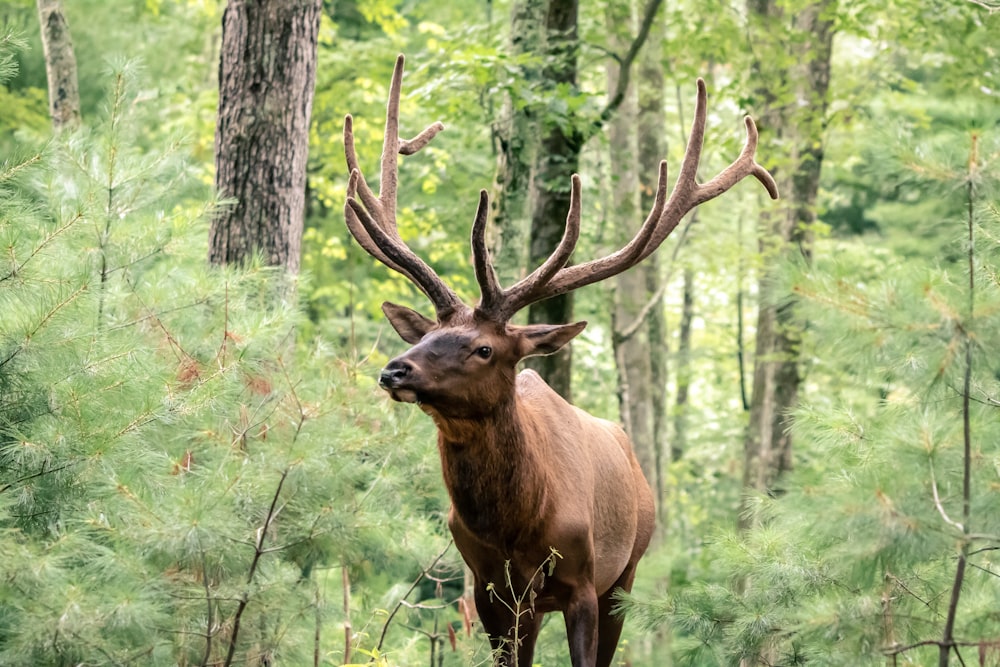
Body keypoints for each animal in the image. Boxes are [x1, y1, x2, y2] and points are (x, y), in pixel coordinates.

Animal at [344, 57, 780, 667]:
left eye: (484, 348)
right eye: (426, 333)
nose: (394, 370)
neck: (519, 526)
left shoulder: (582, 582)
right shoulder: (490, 589)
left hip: (627, 571)